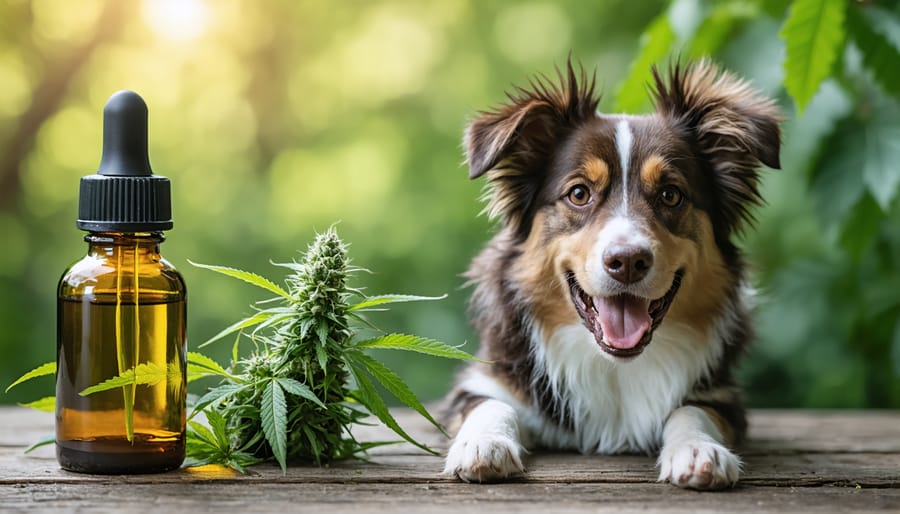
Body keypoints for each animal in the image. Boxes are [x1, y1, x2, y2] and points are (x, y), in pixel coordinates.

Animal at [442, 60, 780, 488]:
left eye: (671, 194)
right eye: (579, 194)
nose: (628, 261)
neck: (616, 366)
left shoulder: (722, 396)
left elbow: (691, 410)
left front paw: (698, 450)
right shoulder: (482, 382)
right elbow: (491, 405)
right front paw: (484, 444)